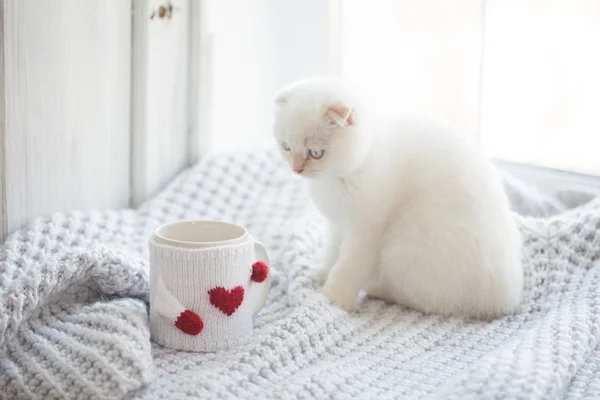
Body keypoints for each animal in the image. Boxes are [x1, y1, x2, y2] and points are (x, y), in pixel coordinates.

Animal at [274, 75, 524, 318]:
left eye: (316, 153)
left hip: (406, 248)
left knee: (422, 299)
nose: (297, 169)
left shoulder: (365, 233)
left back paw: (374, 287)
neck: (335, 180)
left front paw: (333, 299)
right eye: (286, 146)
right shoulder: (337, 226)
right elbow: (332, 253)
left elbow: (347, 267)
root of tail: (508, 300)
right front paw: (323, 274)